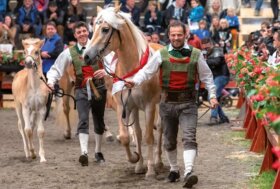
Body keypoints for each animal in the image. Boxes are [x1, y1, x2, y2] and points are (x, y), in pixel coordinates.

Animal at [85, 6, 164, 178]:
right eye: (93, 28)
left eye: (105, 29)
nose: (86, 56)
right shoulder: (124, 106)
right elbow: (125, 137)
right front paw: (135, 159)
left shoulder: (149, 106)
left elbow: (149, 136)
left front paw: (150, 170)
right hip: (134, 108)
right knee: (138, 132)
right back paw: (140, 165)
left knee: (160, 128)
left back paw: (158, 162)